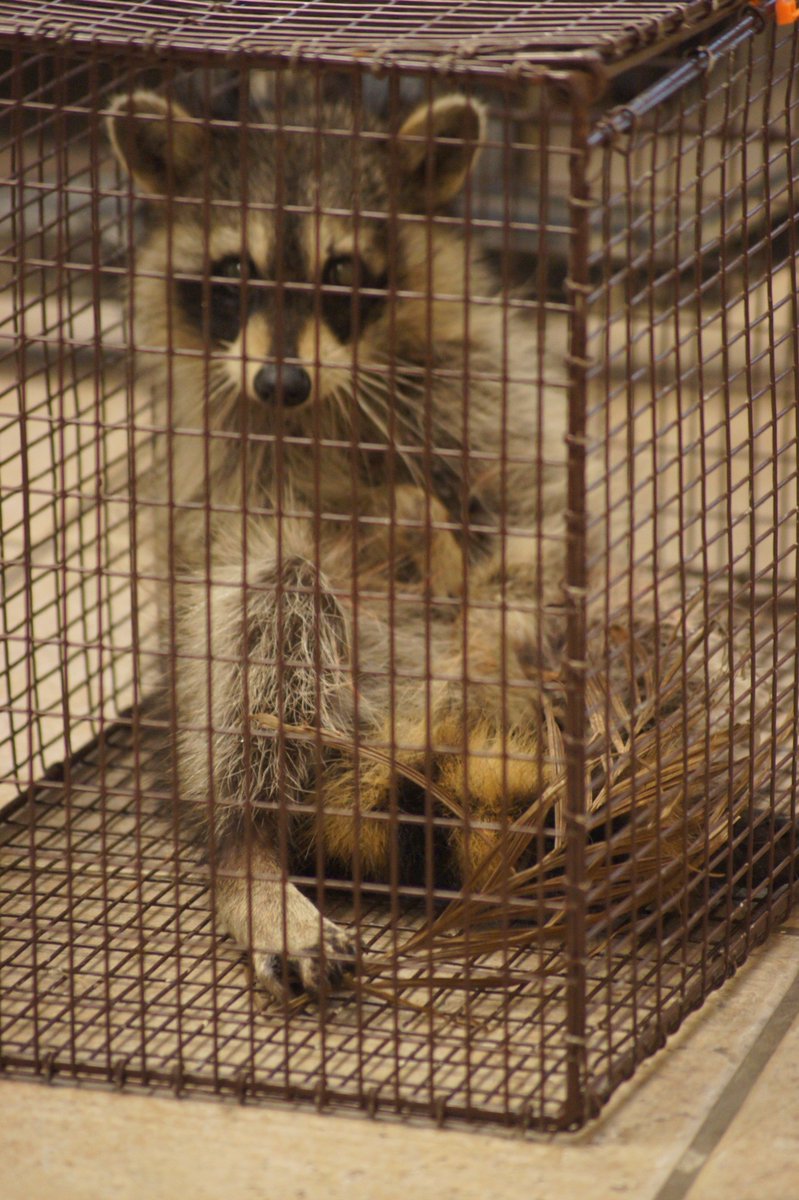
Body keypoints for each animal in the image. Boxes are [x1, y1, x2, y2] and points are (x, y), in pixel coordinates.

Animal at [107, 75, 568, 1000]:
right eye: (234, 273)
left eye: (341, 271)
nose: (280, 381)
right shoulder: (218, 448)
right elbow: (230, 549)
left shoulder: (475, 377)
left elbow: (527, 512)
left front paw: (472, 590)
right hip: (256, 699)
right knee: (267, 619)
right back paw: (250, 856)